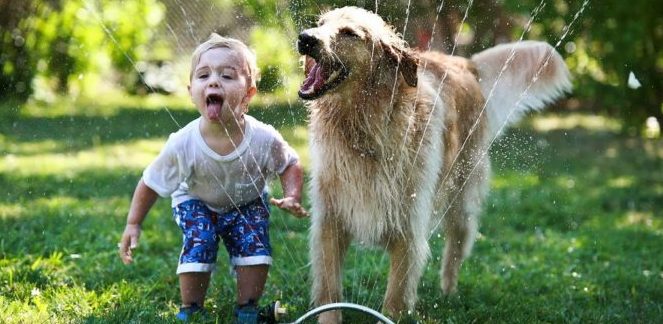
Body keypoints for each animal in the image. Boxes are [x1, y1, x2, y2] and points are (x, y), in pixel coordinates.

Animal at [298, 5, 572, 322]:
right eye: (320, 24)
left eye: (349, 33)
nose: (305, 38)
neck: (364, 128)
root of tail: (464, 63)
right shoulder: (329, 222)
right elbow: (330, 291)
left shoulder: (408, 228)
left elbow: (395, 299)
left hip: (462, 198)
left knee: (455, 249)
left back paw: (448, 293)